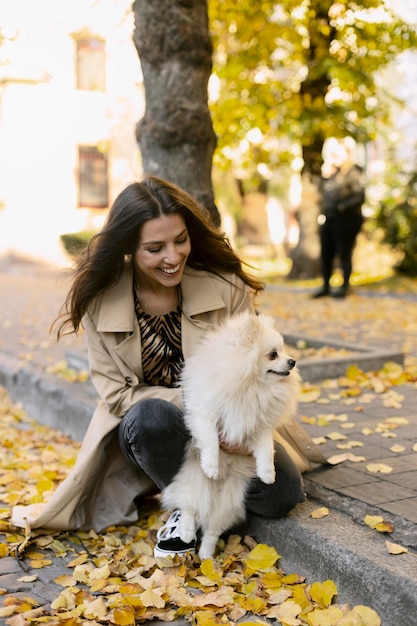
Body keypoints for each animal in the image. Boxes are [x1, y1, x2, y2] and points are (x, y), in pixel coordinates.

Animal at [160, 310, 300, 560]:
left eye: (283, 350)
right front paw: (212, 467)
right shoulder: (205, 413)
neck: (253, 386)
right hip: (191, 483)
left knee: (212, 530)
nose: (293, 361)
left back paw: (206, 556)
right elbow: (211, 440)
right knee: (188, 508)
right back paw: (185, 532)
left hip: (227, 504)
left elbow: (266, 449)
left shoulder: (258, 425)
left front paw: (268, 474)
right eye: (273, 354)